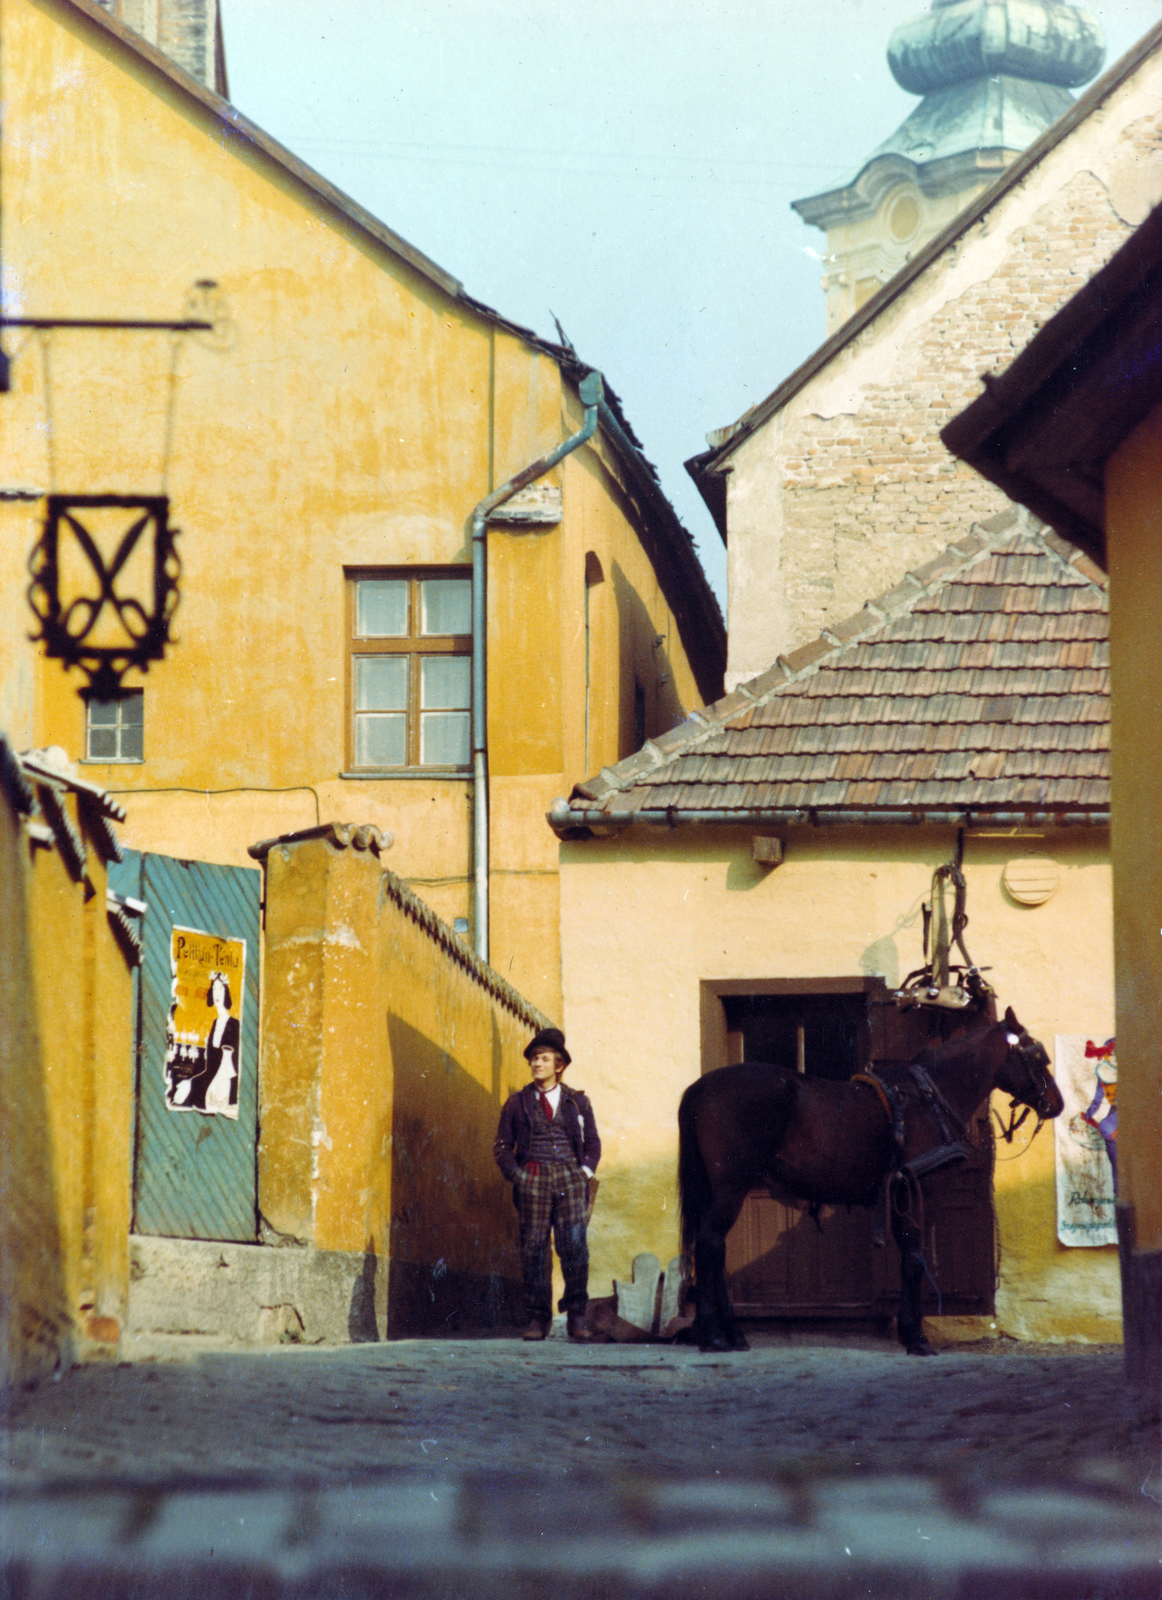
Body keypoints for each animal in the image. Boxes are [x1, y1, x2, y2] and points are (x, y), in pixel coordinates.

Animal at [678, 1004, 1069, 1356]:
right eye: (1037, 1056)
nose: (1057, 1104)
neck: (930, 1099)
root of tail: (701, 1086)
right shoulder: (916, 1193)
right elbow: (914, 1260)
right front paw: (916, 1337)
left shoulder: (898, 1196)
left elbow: (908, 1258)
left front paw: (909, 1330)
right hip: (731, 1186)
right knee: (710, 1244)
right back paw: (713, 1334)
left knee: (713, 1248)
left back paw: (730, 1332)